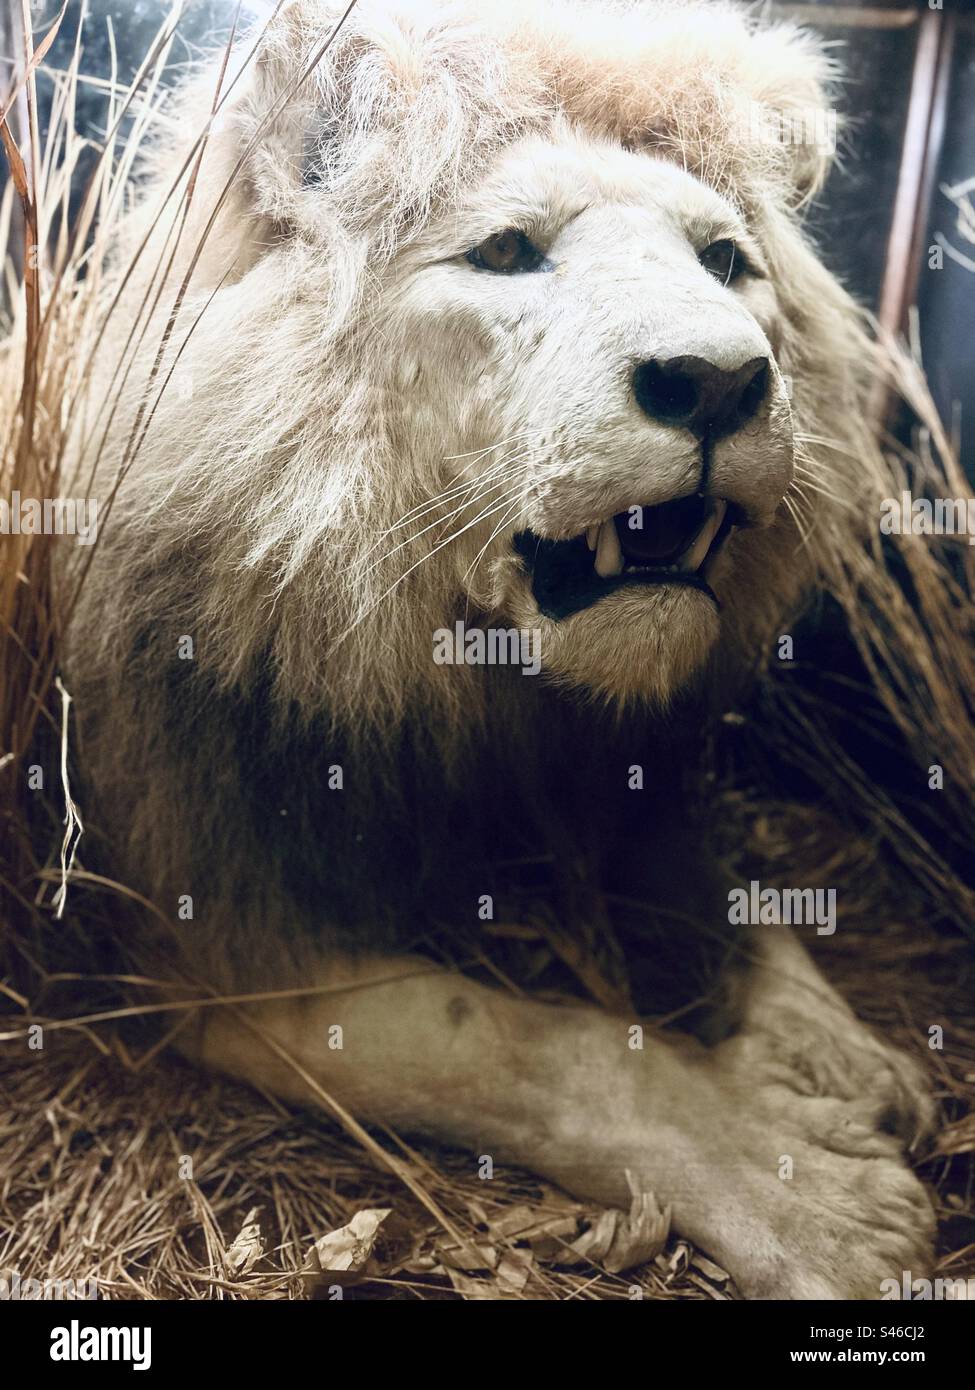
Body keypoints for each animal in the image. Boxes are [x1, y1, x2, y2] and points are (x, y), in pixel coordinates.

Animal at [57, 2, 940, 1301]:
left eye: (727, 262)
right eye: (509, 252)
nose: (720, 380)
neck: (467, 667)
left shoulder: (617, 764)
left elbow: (722, 885)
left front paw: (835, 1044)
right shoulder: (224, 950)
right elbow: (546, 1047)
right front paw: (819, 1195)